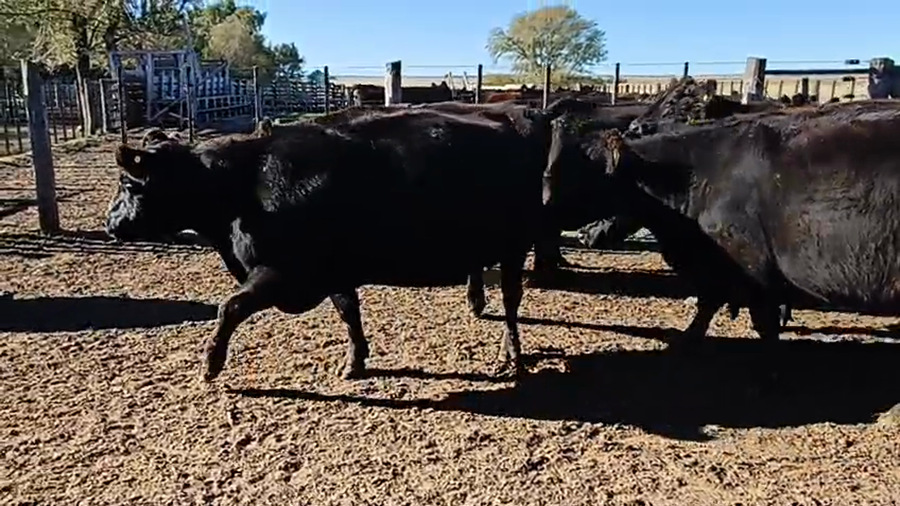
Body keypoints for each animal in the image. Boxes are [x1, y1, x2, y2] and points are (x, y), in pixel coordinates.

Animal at [105, 108, 547, 382]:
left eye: (128, 184)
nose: (110, 222)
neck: (245, 185)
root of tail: (519, 118)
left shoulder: (281, 272)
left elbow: (229, 307)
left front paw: (210, 364)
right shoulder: (334, 272)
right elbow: (349, 313)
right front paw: (355, 361)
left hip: (515, 247)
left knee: (511, 303)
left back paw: (514, 357)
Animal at [551, 100, 900, 348]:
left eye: (593, 174)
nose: (581, 234)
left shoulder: (753, 265)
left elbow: (762, 322)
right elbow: (709, 303)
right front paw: (687, 339)